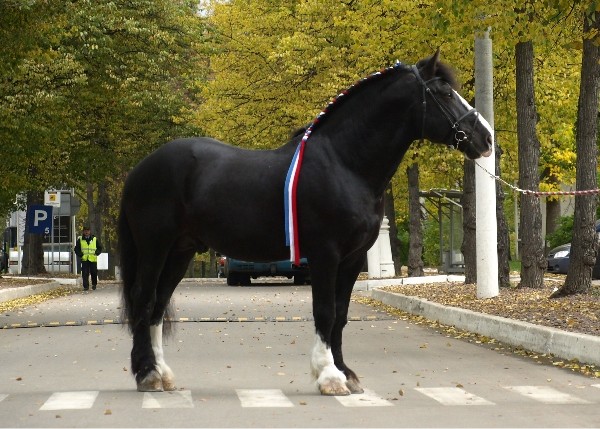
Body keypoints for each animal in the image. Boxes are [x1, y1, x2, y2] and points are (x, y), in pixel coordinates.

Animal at [118, 51, 493, 396]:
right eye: (444, 92)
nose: (486, 139)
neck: (344, 163)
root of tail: (140, 169)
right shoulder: (325, 254)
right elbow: (324, 311)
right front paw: (329, 377)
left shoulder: (352, 258)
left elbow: (341, 314)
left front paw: (345, 373)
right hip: (155, 246)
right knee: (144, 299)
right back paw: (147, 375)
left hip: (180, 251)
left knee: (158, 305)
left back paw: (163, 374)